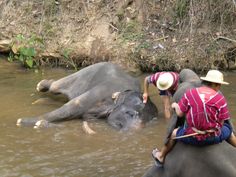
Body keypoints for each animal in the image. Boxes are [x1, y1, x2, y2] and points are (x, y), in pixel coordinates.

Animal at [16, 62, 157, 131]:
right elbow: (70, 108)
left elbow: (85, 118)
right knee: (56, 86)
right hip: (84, 72)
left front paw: (40, 124)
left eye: (151, 120)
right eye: (130, 114)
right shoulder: (99, 93)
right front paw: (22, 121)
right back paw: (41, 85)